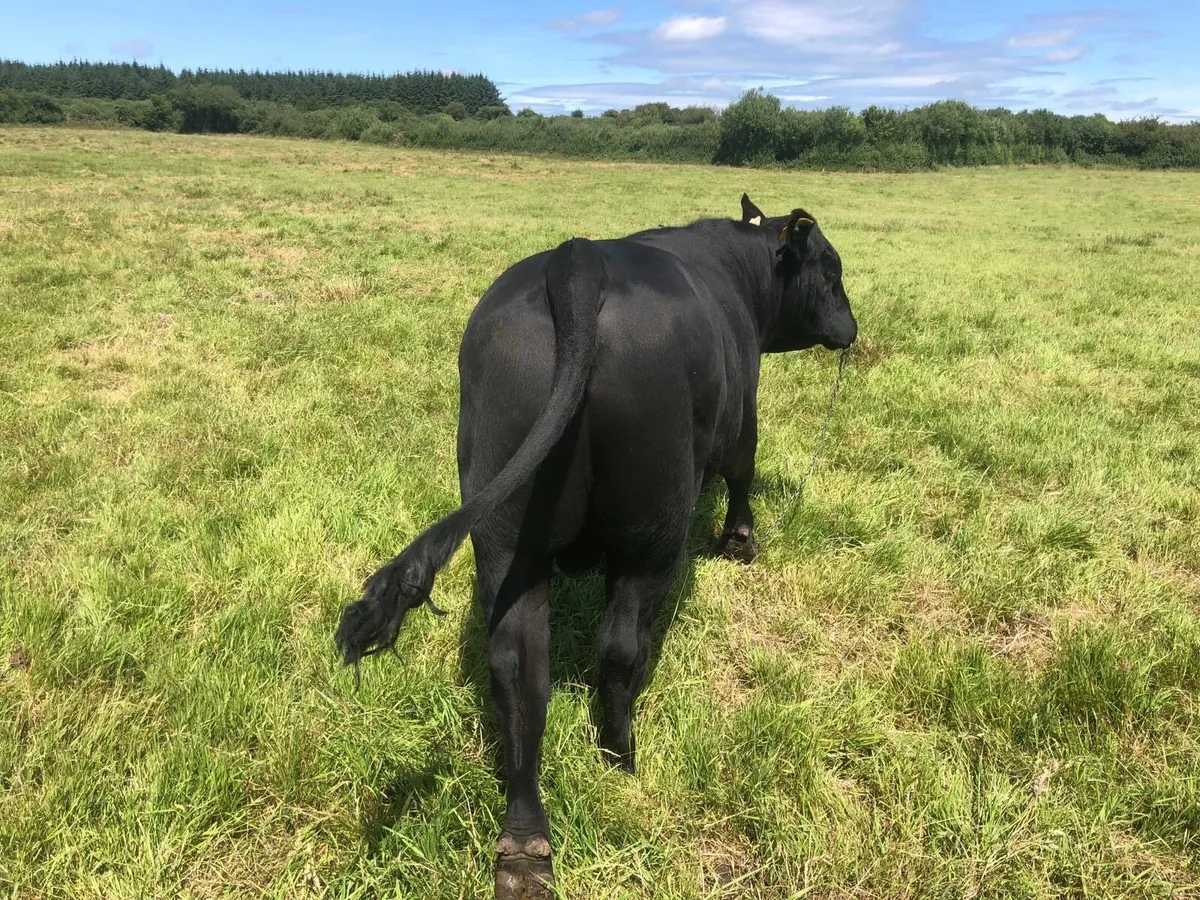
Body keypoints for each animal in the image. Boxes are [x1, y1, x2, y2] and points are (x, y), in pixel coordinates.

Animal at [335, 194, 858, 899]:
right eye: (831, 269)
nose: (851, 329)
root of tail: (577, 262)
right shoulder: (743, 413)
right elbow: (743, 471)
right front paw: (741, 542)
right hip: (651, 530)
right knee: (619, 647)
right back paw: (621, 756)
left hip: (508, 539)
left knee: (519, 666)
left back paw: (525, 844)